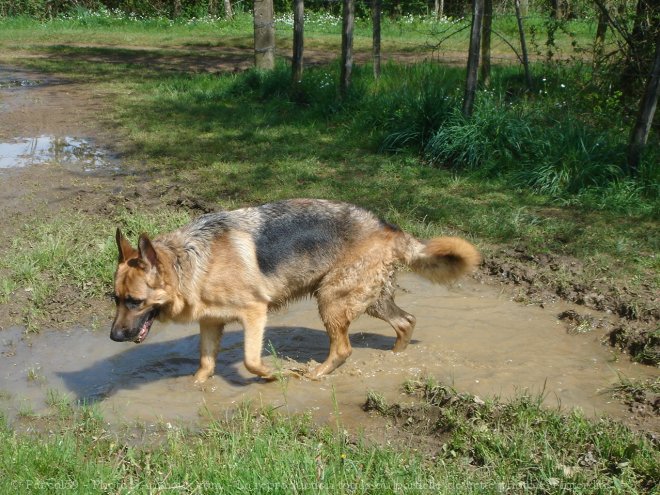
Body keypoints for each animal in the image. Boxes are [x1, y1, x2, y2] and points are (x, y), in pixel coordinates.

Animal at [112, 200, 480, 386]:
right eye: (115, 300)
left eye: (136, 302)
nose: (114, 337)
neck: (187, 259)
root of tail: (390, 228)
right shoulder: (211, 323)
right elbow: (205, 361)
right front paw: (197, 385)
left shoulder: (254, 313)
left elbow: (251, 360)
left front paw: (276, 375)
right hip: (370, 300)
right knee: (406, 321)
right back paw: (395, 357)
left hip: (330, 300)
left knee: (344, 348)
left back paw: (316, 373)